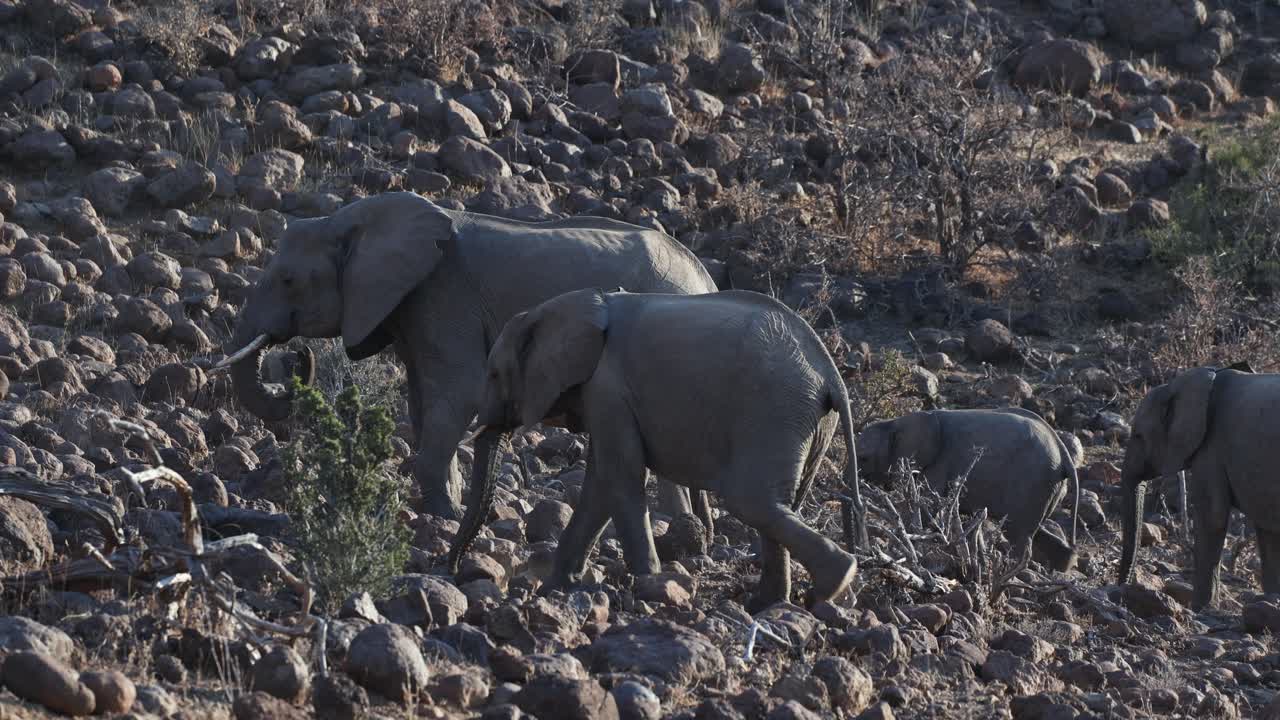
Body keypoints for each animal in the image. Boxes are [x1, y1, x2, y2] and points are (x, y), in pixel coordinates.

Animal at [222, 191, 717, 522]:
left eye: (288, 280)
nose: (296, 356)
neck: (353, 219)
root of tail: (706, 278)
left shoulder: (443, 294)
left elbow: (460, 391)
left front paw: (442, 515)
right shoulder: (411, 306)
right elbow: (423, 400)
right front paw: (450, 504)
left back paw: (678, 527)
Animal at [450, 288, 867, 611]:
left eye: (494, 374)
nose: (450, 569)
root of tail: (832, 375)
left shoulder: (608, 388)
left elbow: (620, 474)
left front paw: (649, 585)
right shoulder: (603, 396)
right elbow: (601, 482)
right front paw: (556, 588)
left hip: (774, 410)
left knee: (750, 500)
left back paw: (833, 584)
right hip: (801, 420)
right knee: (776, 504)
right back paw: (770, 604)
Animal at [856, 408, 1081, 571]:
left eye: (863, 458)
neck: (896, 422)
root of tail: (1064, 455)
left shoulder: (938, 464)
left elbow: (927, 507)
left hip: (1031, 482)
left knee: (1018, 534)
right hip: (1045, 488)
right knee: (1032, 530)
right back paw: (1062, 566)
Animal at [1117, 366, 1280, 609]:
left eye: (1138, 435)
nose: (1121, 588)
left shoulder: (1211, 449)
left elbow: (1213, 518)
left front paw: (1200, 609)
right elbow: (1268, 533)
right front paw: (1271, 600)